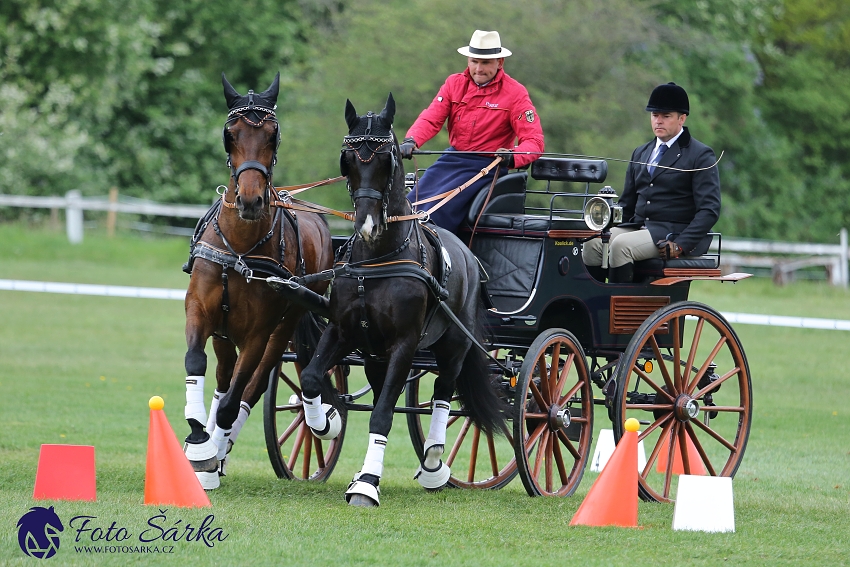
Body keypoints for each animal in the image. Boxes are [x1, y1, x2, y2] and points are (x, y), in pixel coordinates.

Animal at [181, 73, 332, 490]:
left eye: (273, 134)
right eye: (229, 134)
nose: (250, 200)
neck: (241, 249)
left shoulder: (259, 332)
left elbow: (236, 399)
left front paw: (210, 451)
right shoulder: (200, 311)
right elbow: (195, 362)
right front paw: (199, 440)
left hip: (285, 326)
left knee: (252, 384)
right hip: (224, 332)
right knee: (222, 377)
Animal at [296, 95, 504, 508]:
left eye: (386, 159)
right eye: (347, 158)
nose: (367, 225)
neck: (378, 260)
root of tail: (468, 253)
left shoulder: (405, 345)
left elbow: (382, 416)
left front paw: (366, 485)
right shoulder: (342, 331)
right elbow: (312, 378)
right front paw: (327, 423)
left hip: (453, 345)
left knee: (443, 394)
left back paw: (435, 464)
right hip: (374, 355)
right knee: (386, 395)